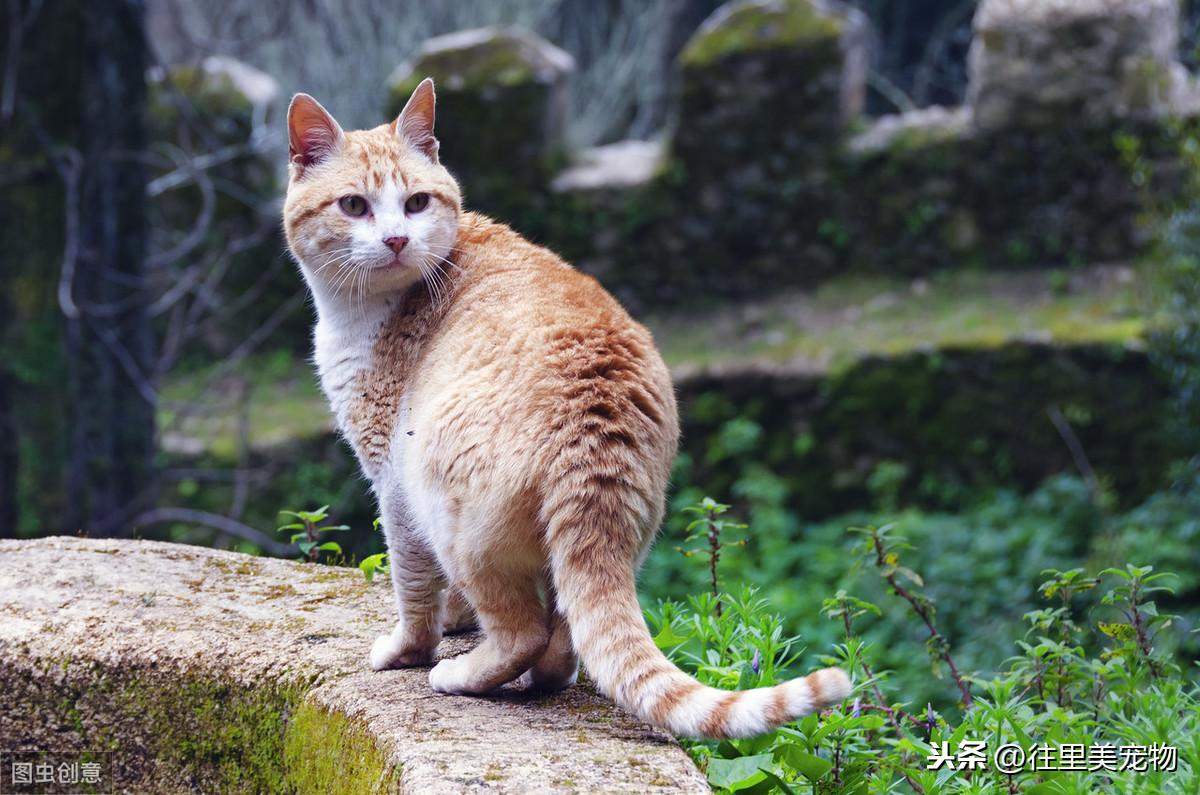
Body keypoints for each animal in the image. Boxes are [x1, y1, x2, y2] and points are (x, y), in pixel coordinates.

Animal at [280, 78, 849, 739]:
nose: (397, 239)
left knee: (524, 633)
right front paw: (457, 622)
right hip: (607, 538)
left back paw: (460, 675)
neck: (371, 308)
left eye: (416, 202)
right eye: (354, 206)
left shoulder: (392, 483)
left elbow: (414, 585)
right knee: (562, 641)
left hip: (443, 505)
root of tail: (594, 430)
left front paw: (411, 648)